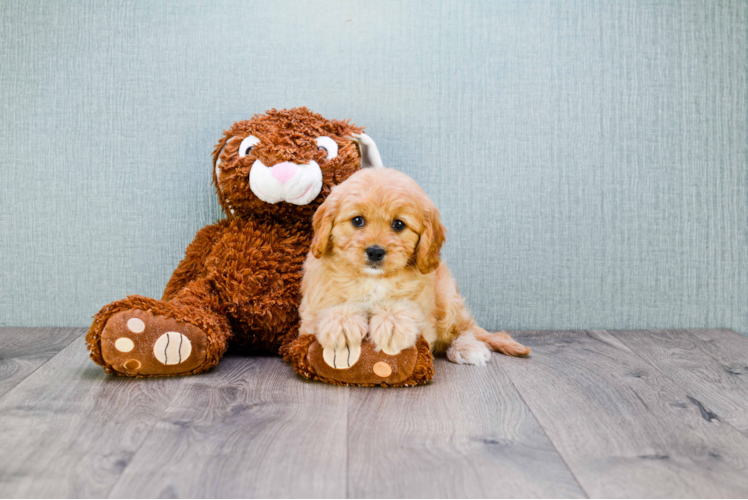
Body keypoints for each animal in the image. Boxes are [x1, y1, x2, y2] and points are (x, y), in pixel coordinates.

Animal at [296, 166, 528, 366]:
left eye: (399, 224)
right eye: (357, 220)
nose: (375, 252)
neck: (372, 279)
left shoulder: (425, 313)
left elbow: (407, 307)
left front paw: (392, 323)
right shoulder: (312, 309)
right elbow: (331, 306)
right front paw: (342, 323)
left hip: (446, 296)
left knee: (462, 329)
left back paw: (467, 348)